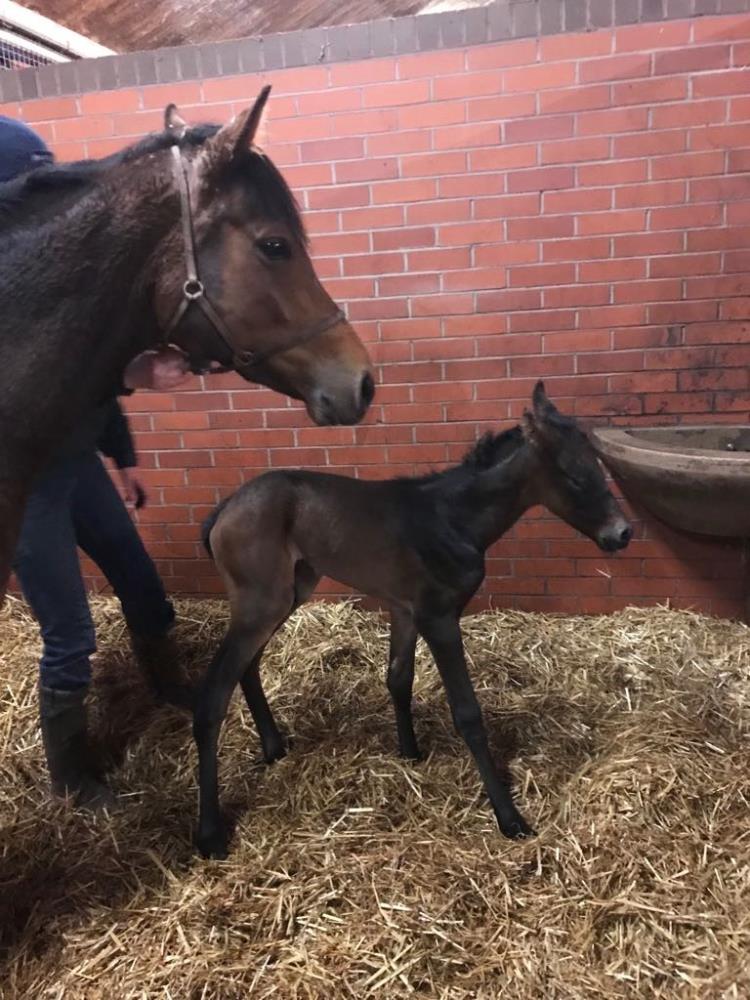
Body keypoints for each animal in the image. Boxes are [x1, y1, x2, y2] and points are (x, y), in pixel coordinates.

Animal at [195, 382, 632, 858]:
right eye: (573, 475)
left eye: (598, 465)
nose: (622, 533)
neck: (451, 519)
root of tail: (223, 509)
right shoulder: (438, 615)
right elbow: (467, 712)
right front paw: (509, 816)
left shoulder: (404, 608)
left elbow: (398, 677)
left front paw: (409, 752)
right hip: (263, 601)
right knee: (214, 691)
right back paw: (210, 832)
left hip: (291, 591)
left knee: (248, 667)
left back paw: (274, 748)